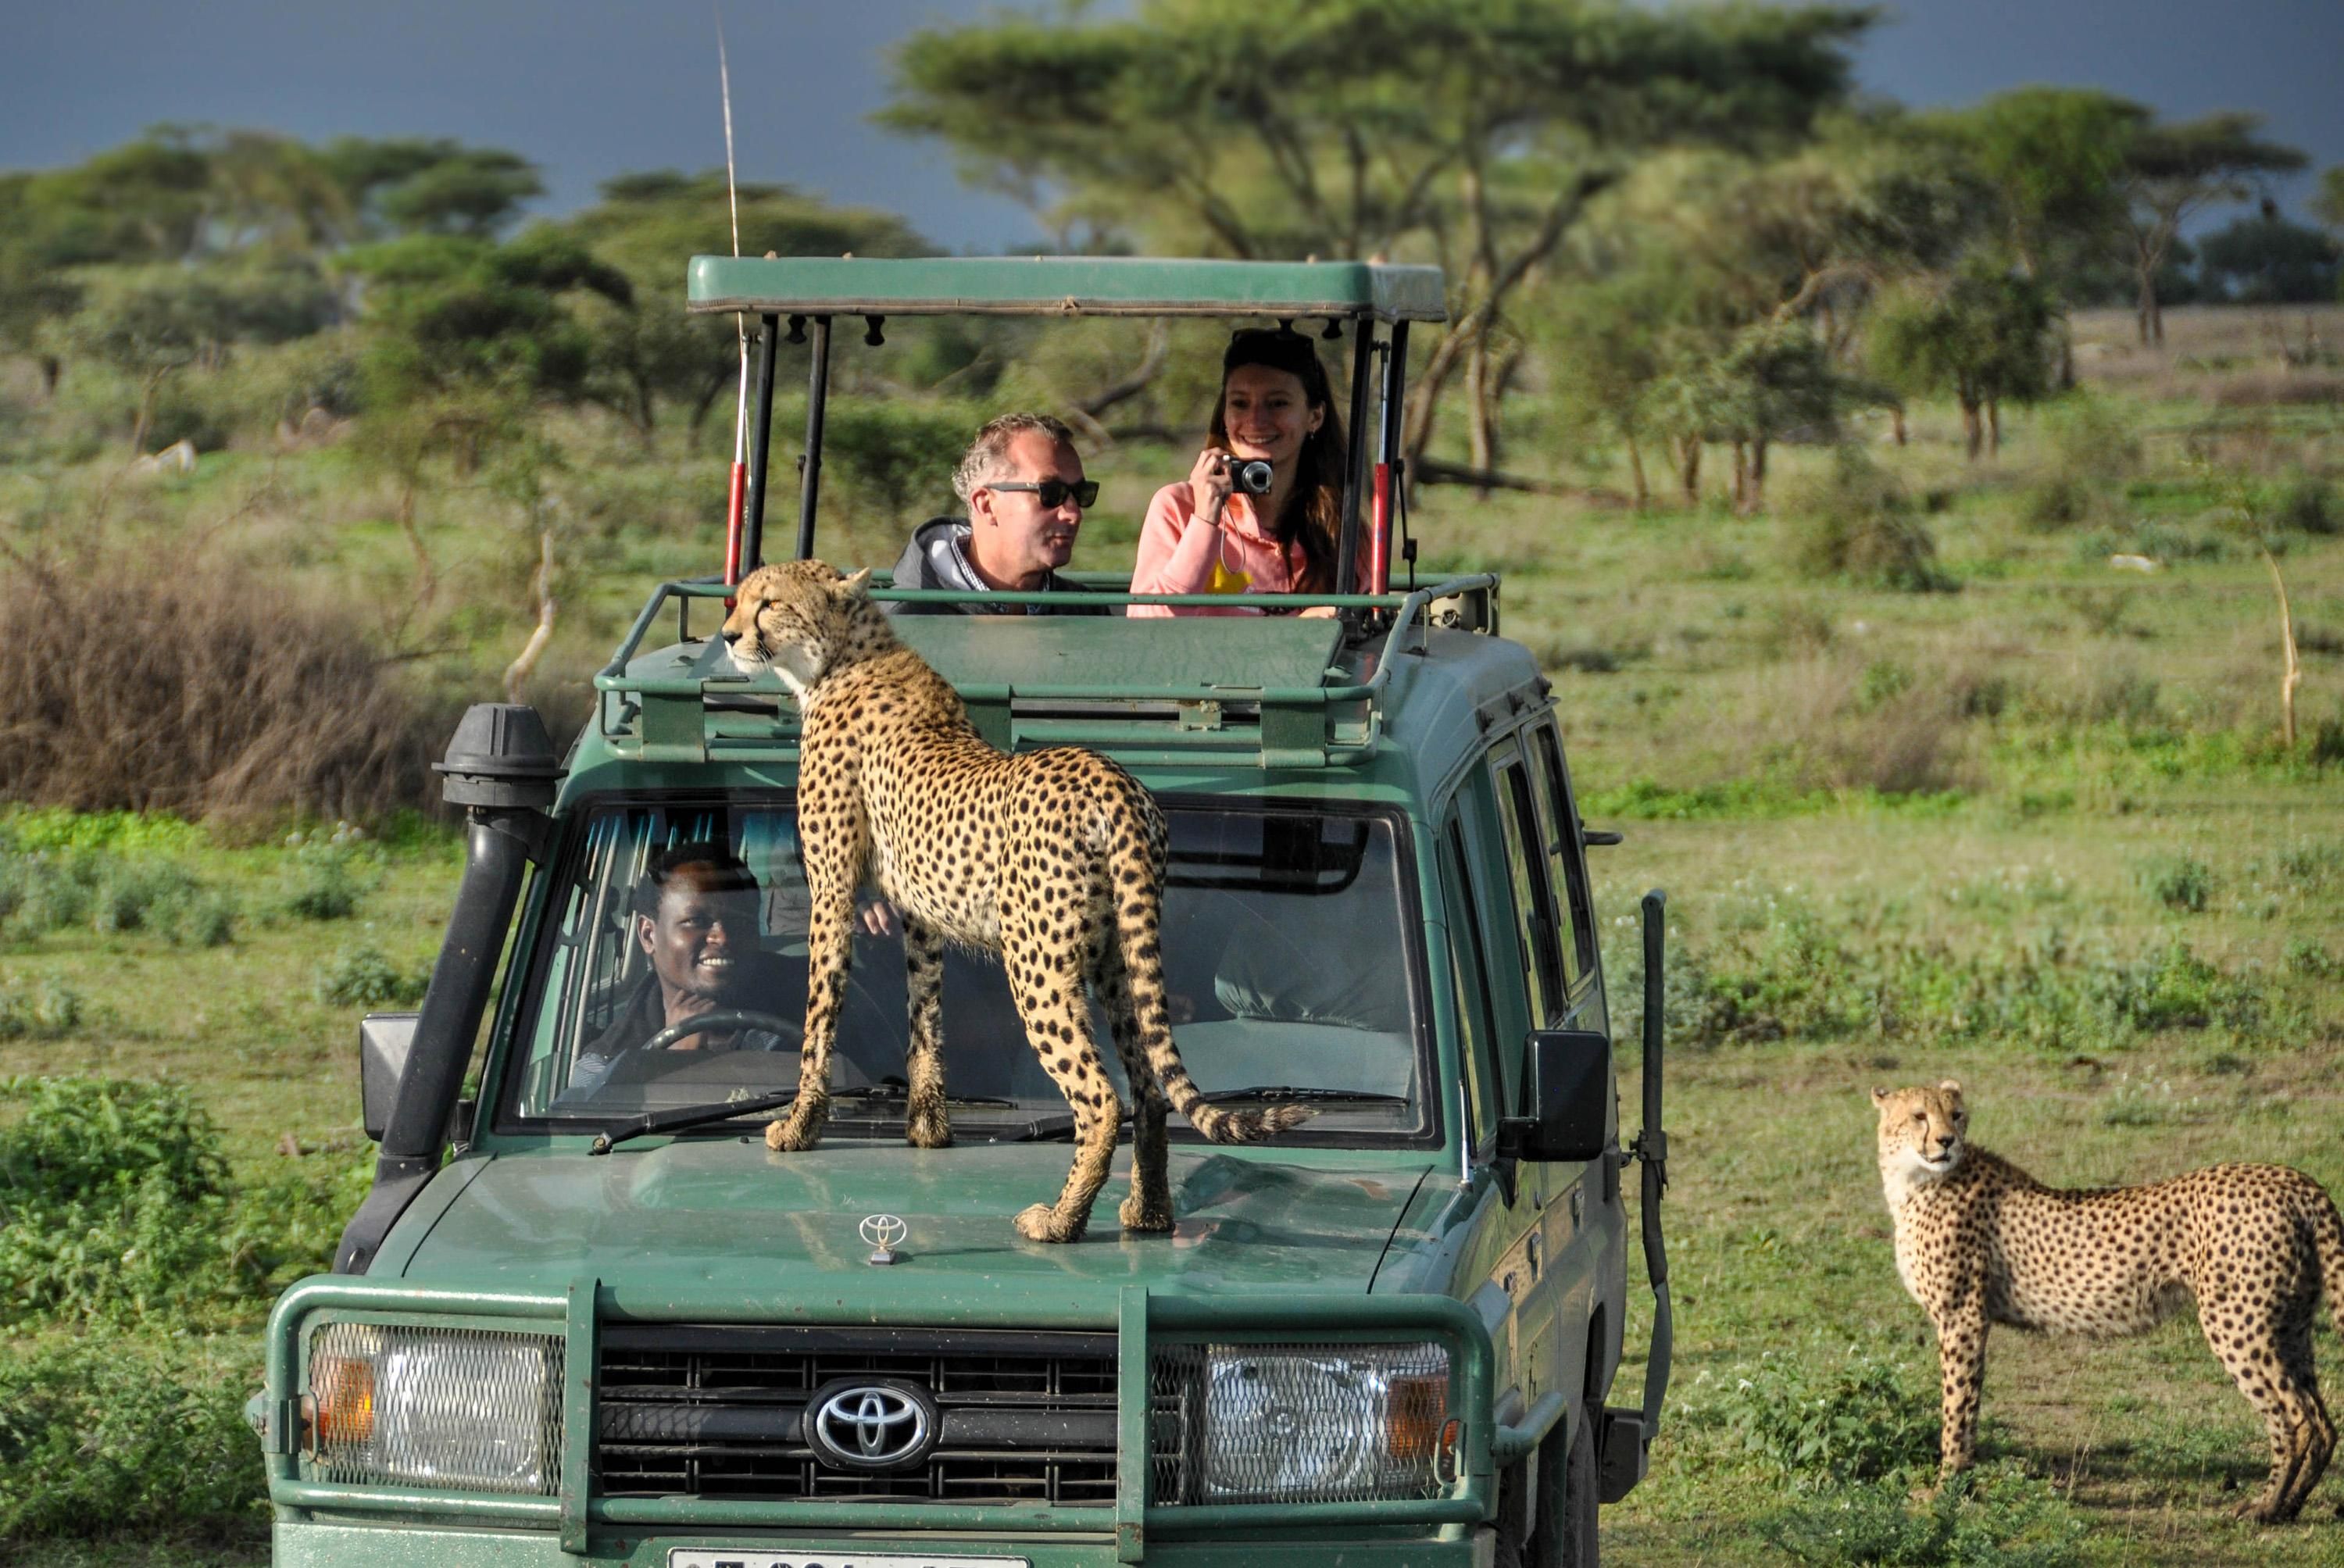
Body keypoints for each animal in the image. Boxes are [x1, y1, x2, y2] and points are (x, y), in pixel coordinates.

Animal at [722, 555, 1313, 1238]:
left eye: (768, 603)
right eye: (740, 598)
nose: (729, 636)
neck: (843, 656)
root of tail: (1111, 778)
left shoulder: (832, 889)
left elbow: (820, 1011)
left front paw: (798, 1125)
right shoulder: (921, 913)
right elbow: (925, 1013)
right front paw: (928, 1126)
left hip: (1038, 964)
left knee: (1101, 1097)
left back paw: (1059, 1220)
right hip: (1120, 958)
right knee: (1148, 1087)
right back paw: (1149, 1212)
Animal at [1866, 1078, 2344, 1519]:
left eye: (1956, 1115)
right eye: (1919, 1116)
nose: (1947, 1141)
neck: (1915, 1180)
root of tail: (2293, 1178)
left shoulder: (1962, 1317)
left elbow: (1958, 1409)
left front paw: (1948, 1488)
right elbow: (1964, 1406)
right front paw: (1956, 1485)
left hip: (2237, 1323)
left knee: (2295, 1417)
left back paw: (2265, 1507)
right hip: (2291, 1324)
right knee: (2323, 1422)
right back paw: (2291, 1505)